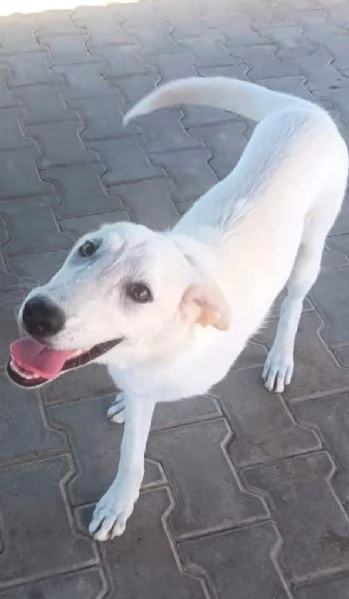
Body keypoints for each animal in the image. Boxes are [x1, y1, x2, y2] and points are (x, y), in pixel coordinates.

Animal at [6, 77, 346, 540]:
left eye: (141, 293)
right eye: (87, 248)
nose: (39, 313)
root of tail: (304, 110)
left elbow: (133, 451)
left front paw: (118, 503)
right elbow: (133, 431)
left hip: (310, 249)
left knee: (294, 303)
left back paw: (280, 358)